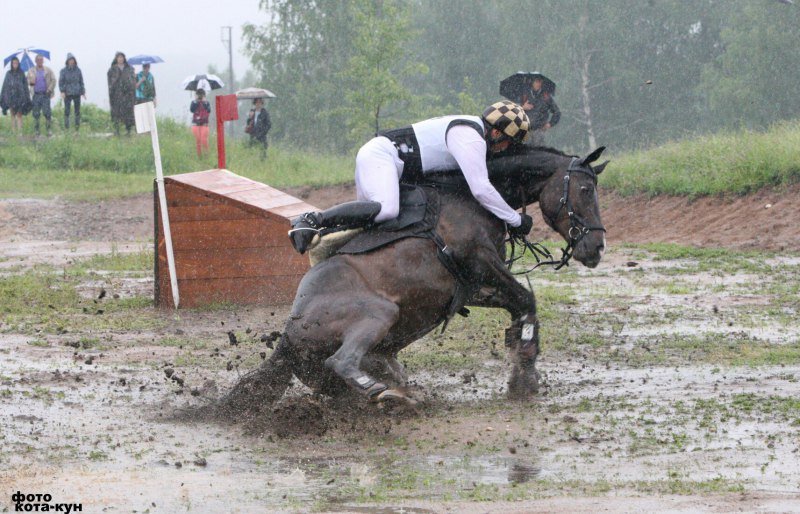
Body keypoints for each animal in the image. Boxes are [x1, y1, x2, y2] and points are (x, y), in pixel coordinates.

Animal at [222, 144, 608, 408]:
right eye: (585, 190)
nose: (598, 246)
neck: (469, 196)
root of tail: (288, 336)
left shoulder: (471, 286)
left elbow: (522, 306)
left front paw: (523, 369)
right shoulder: (481, 262)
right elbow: (526, 298)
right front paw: (524, 377)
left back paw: (400, 391)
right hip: (380, 313)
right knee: (342, 362)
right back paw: (386, 395)